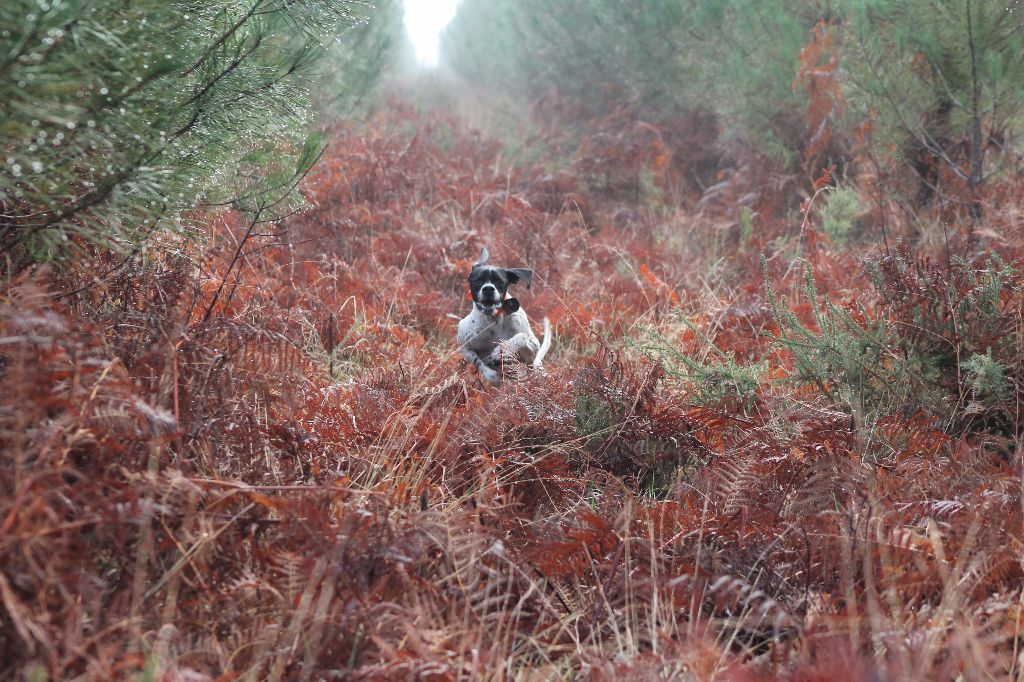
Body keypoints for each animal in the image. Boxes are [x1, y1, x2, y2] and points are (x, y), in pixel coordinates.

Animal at [458, 246, 552, 382]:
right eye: (478, 281)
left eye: (499, 281)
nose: (488, 289)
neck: (495, 320)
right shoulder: (464, 347)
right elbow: (478, 362)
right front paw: (491, 375)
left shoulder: (532, 350)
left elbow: (521, 336)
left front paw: (500, 350)